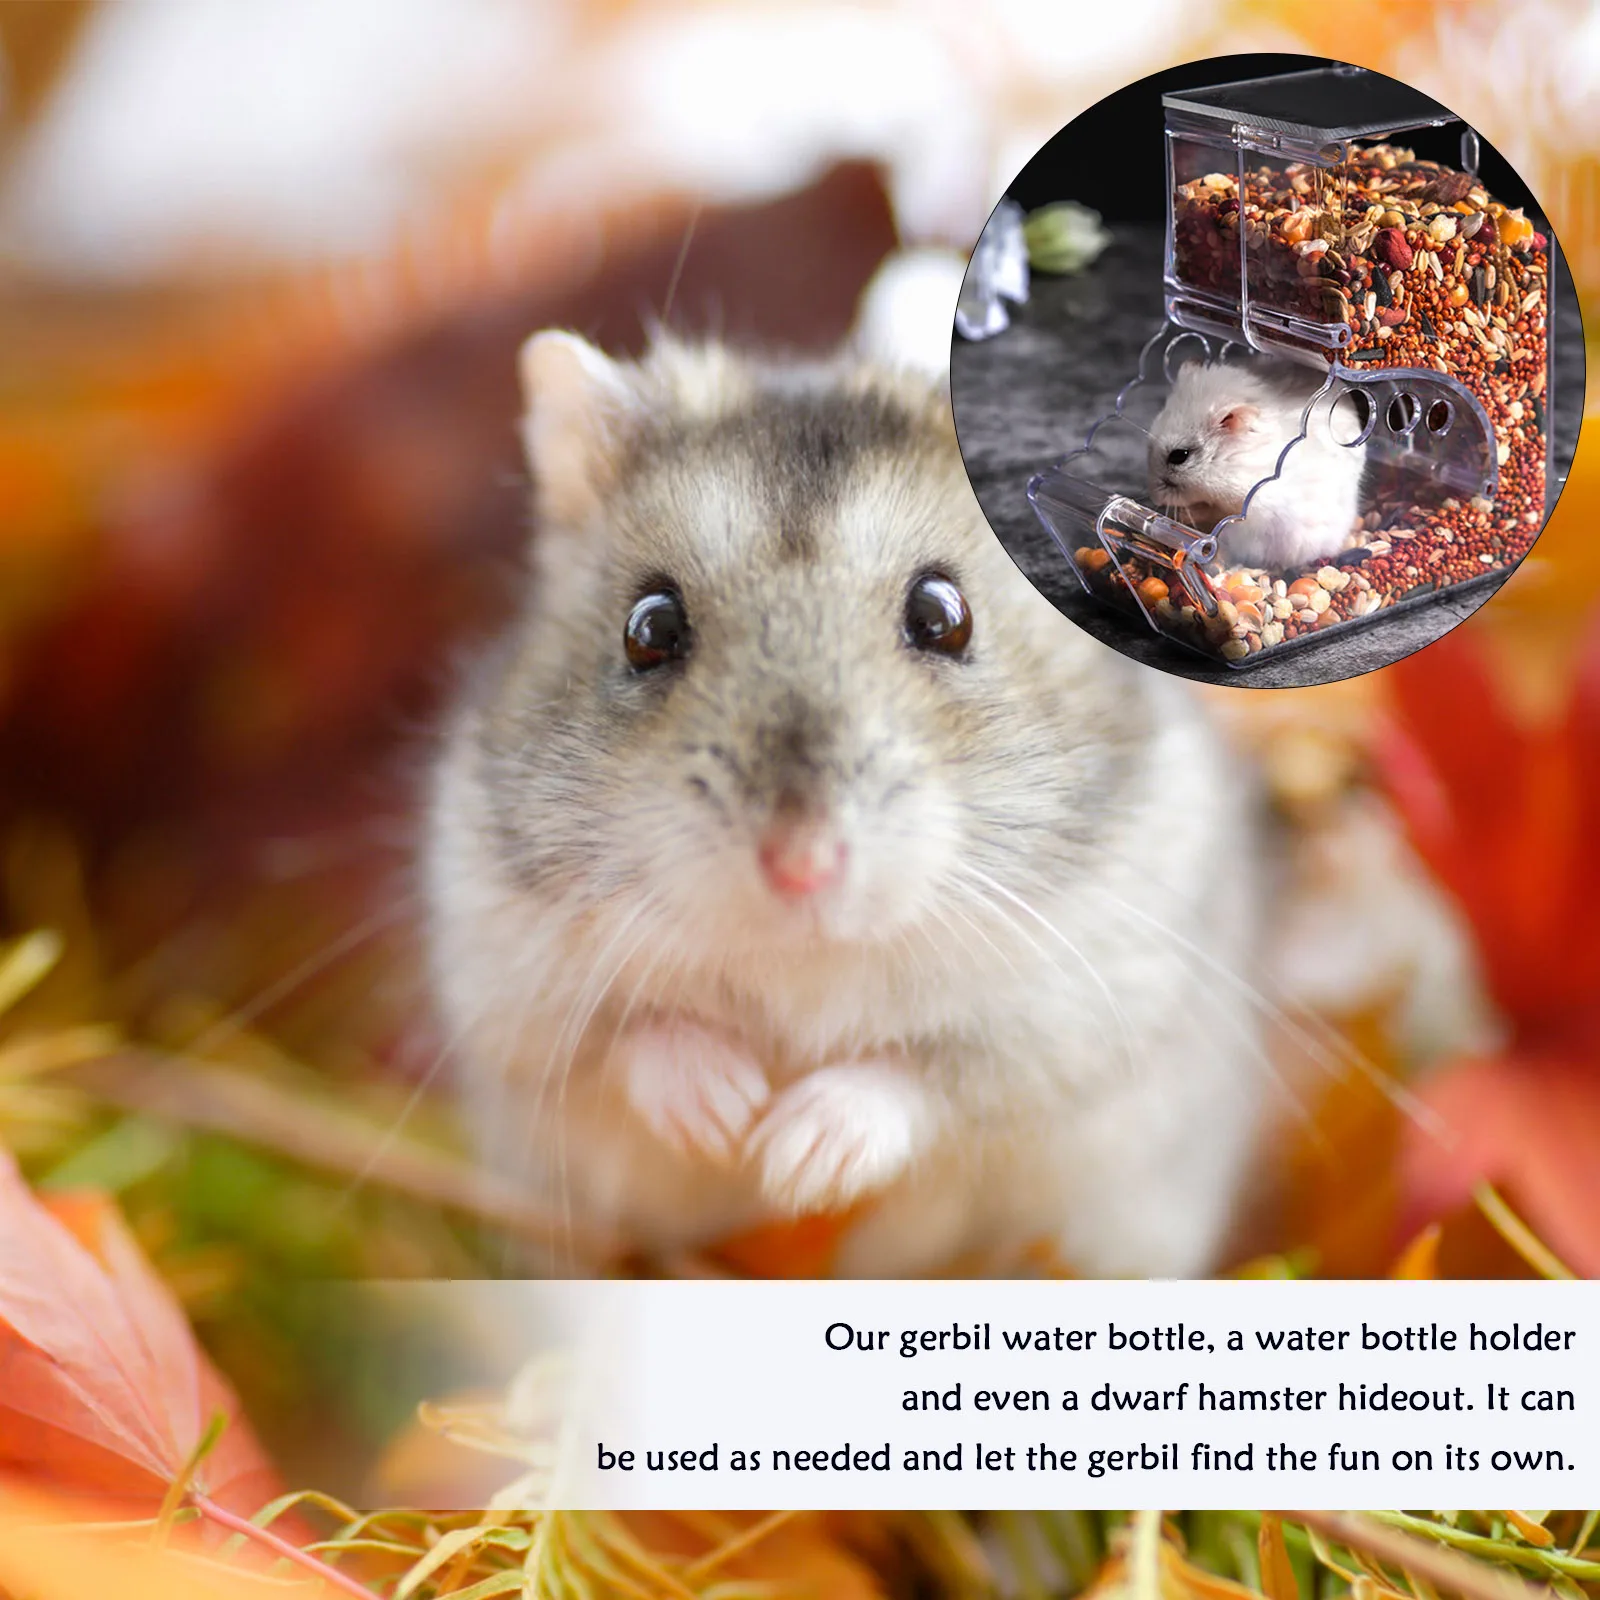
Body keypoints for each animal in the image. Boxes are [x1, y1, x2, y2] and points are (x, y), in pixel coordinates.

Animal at [425, 330, 1271, 1277]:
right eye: (648, 628)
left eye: (944, 615)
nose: (801, 867)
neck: (803, 960)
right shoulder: (507, 988)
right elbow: (628, 1042)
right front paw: (731, 1116)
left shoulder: (1082, 1010)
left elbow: (930, 1078)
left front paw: (794, 1153)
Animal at [1147, 359, 1368, 573]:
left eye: (1179, 456)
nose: (1155, 498)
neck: (1225, 463)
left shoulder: (1251, 505)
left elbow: (1214, 512)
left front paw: (1183, 514)